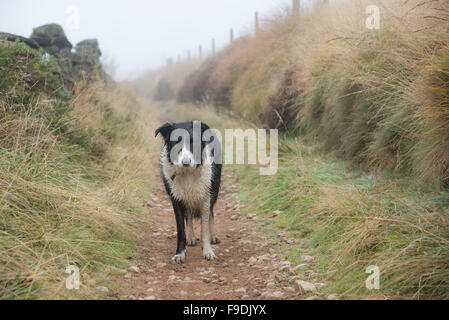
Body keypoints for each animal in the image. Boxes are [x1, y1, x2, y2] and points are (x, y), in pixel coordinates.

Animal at [156, 121, 222, 264]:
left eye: (193, 142)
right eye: (176, 142)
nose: (186, 162)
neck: (187, 172)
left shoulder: (206, 197)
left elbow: (204, 228)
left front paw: (208, 251)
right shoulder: (176, 199)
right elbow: (181, 229)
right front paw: (180, 253)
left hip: (214, 190)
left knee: (211, 214)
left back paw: (213, 236)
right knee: (189, 215)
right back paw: (191, 237)